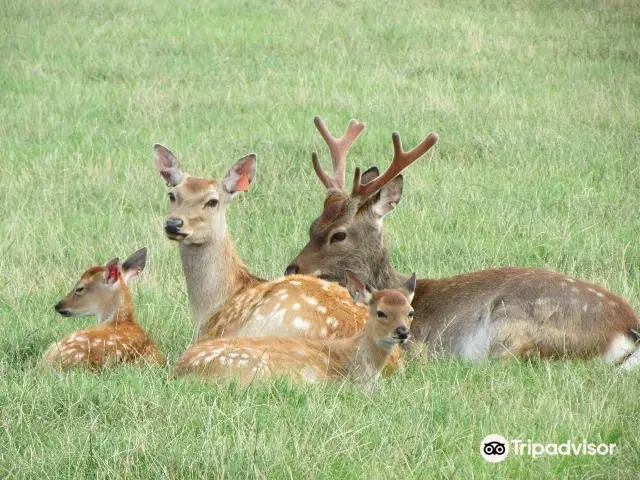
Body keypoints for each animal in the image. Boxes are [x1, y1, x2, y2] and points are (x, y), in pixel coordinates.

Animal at [286, 117, 640, 368]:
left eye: (338, 234)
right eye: (313, 225)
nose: (293, 268)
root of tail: (628, 329)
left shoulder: (416, 339)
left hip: (517, 325)